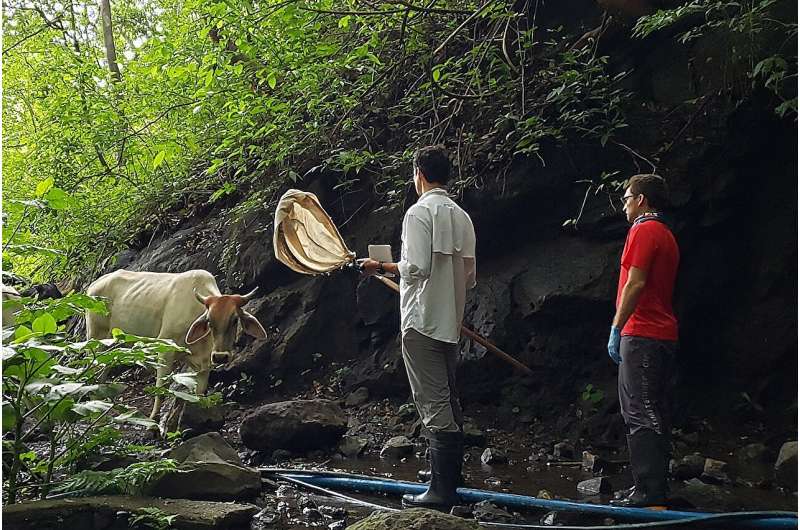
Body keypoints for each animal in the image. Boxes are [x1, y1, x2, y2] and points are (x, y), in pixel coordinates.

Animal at [85, 269, 267, 420]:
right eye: (209, 321)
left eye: (235, 320)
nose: (220, 357)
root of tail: (94, 284)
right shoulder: (165, 349)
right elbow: (161, 389)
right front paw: (153, 422)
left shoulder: (203, 364)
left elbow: (200, 393)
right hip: (96, 338)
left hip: (111, 347)